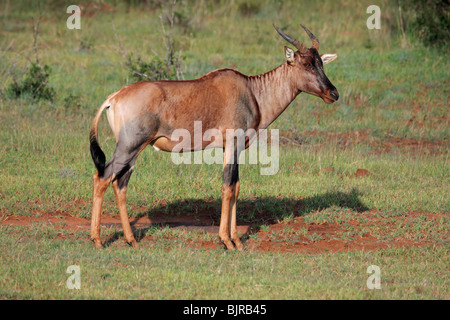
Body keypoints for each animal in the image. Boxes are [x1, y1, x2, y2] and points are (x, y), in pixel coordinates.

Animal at [89, 25, 340, 250]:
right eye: (306, 64)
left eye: (321, 63)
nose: (333, 93)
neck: (251, 91)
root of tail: (114, 97)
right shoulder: (233, 144)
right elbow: (227, 186)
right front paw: (226, 241)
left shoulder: (234, 149)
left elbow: (236, 187)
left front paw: (237, 241)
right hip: (128, 147)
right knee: (102, 178)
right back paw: (98, 240)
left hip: (134, 151)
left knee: (120, 184)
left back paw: (130, 240)